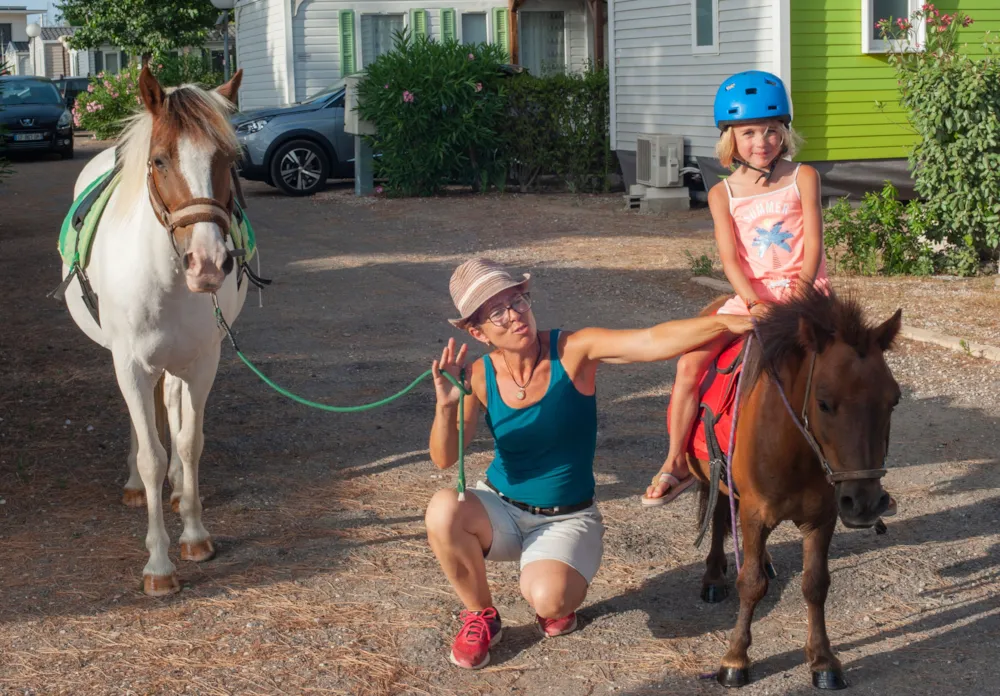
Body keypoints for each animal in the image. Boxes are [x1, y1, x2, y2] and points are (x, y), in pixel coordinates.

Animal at [63, 68, 248, 596]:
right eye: (161, 159)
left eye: (229, 160)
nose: (208, 263)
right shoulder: (130, 365)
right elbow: (152, 456)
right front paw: (159, 564)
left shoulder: (203, 363)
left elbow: (188, 442)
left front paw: (195, 534)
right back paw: (135, 485)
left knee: (173, 410)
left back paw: (180, 490)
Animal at [692, 288, 904, 692]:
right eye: (823, 402)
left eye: (894, 400)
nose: (865, 503)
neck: (795, 450)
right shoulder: (754, 514)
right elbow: (750, 583)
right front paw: (735, 659)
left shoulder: (823, 518)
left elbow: (815, 584)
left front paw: (823, 660)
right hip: (716, 480)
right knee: (720, 513)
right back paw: (713, 576)